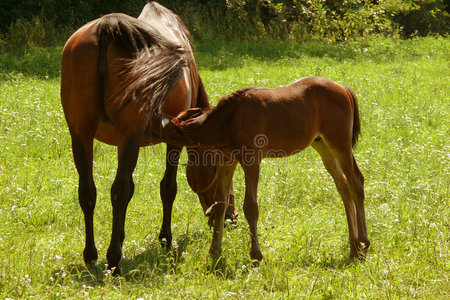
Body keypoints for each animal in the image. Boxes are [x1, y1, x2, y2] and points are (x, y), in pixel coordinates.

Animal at [60, 2, 236, 276]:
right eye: (221, 170)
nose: (231, 218)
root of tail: (106, 29)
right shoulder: (172, 140)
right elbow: (168, 188)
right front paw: (165, 239)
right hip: (126, 135)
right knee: (119, 190)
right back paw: (113, 260)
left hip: (81, 134)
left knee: (87, 191)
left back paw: (92, 256)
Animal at [163, 77, 370, 264]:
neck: (232, 118)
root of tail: (344, 89)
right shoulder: (227, 161)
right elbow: (221, 203)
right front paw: (215, 251)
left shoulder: (252, 160)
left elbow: (250, 207)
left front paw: (256, 255)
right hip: (322, 145)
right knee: (343, 185)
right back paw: (353, 248)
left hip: (340, 144)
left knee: (355, 182)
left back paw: (363, 244)